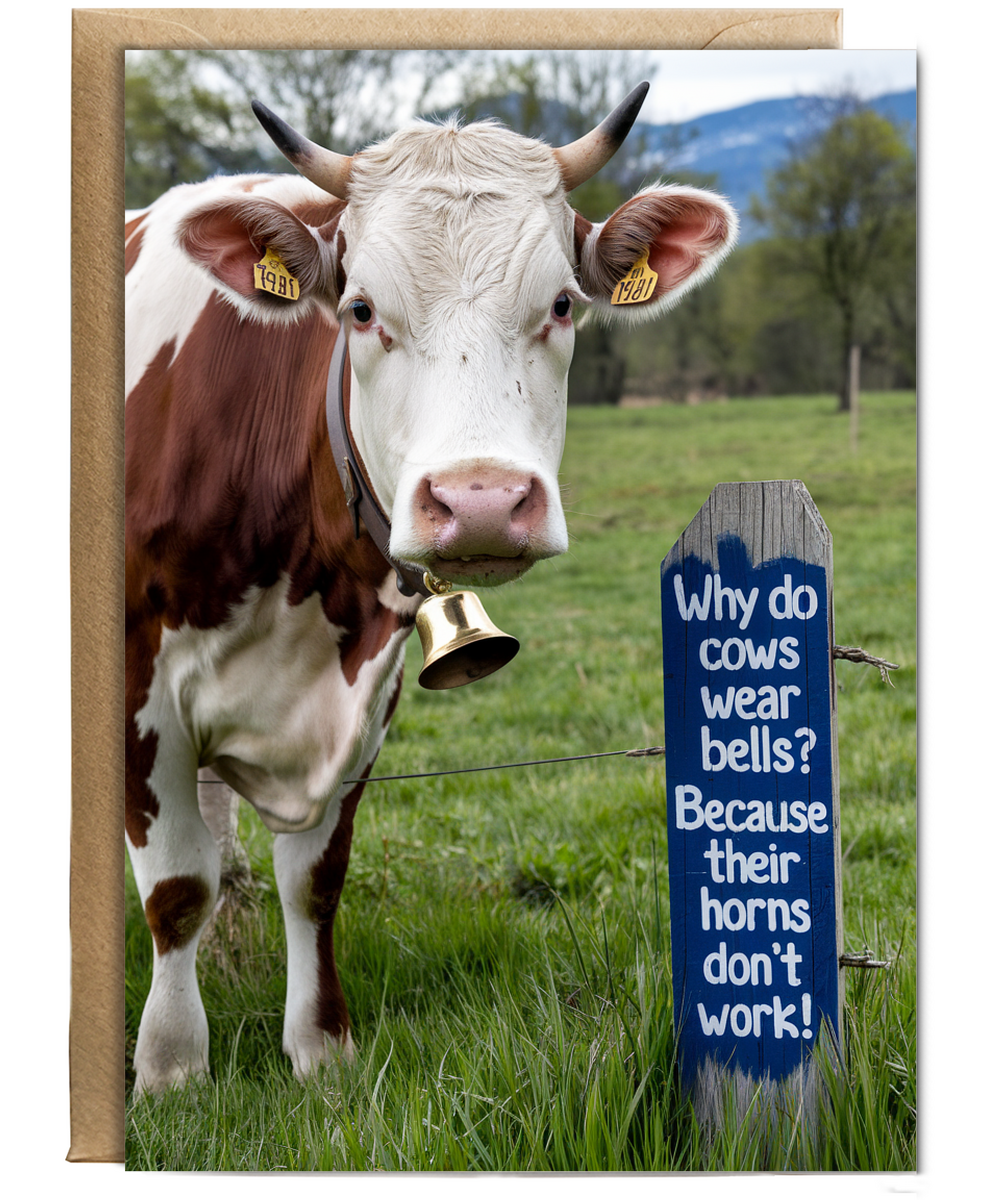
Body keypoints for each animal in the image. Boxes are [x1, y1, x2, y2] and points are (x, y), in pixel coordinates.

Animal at [125, 84, 737, 1094]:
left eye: (563, 303)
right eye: (361, 309)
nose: (481, 502)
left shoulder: (367, 694)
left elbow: (313, 880)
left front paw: (319, 1050)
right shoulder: (140, 690)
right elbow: (176, 889)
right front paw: (172, 1070)